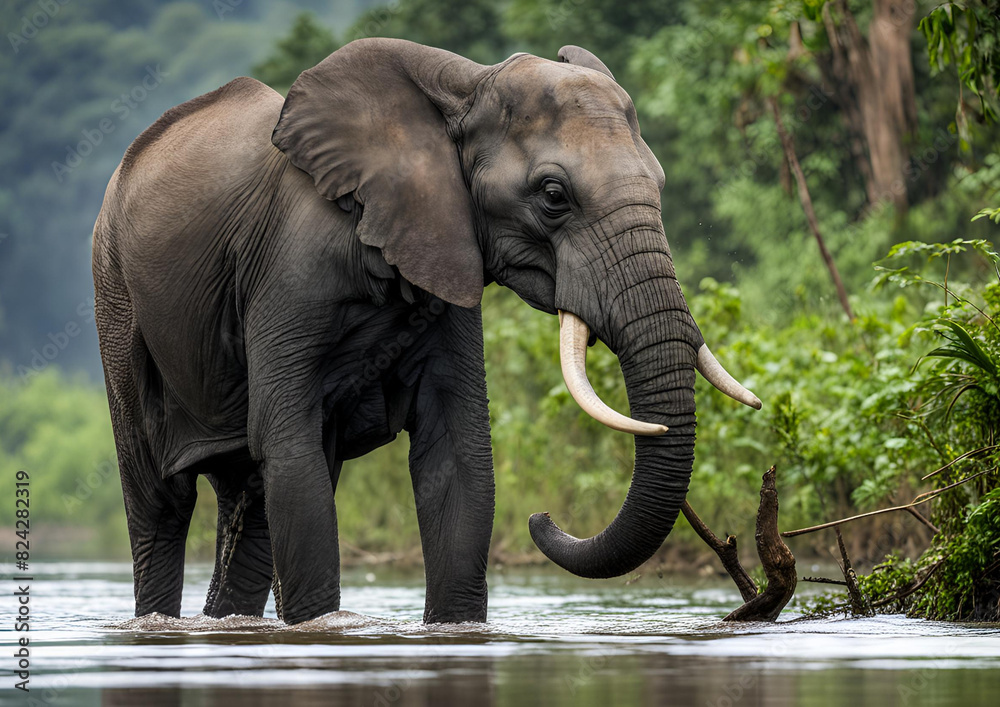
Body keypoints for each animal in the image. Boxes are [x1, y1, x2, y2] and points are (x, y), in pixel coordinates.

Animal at [92, 38, 760, 625]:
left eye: (661, 184)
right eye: (553, 195)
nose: (541, 518)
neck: (465, 85)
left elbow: (458, 459)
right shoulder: (288, 273)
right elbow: (291, 451)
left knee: (248, 500)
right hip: (115, 292)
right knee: (162, 499)